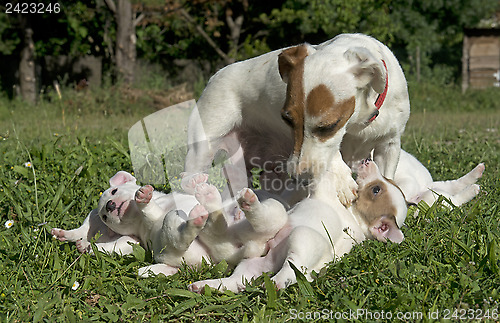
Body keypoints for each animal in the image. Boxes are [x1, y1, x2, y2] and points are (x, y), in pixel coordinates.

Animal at [184, 33, 410, 205]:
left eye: (328, 125)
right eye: (287, 119)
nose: (300, 179)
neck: (358, 123)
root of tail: (214, 77)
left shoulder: (389, 145)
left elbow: (386, 174)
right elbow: (333, 154)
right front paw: (343, 181)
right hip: (202, 148)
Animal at [189, 159, 408, 294]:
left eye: (376, 189)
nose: (367, 161)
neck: (355, 217)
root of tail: (271, 259)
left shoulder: (322, 189)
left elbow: (325, 171)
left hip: (301, 238)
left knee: (291, 266)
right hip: (249, 266)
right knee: (233, 281)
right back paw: (204, 285)